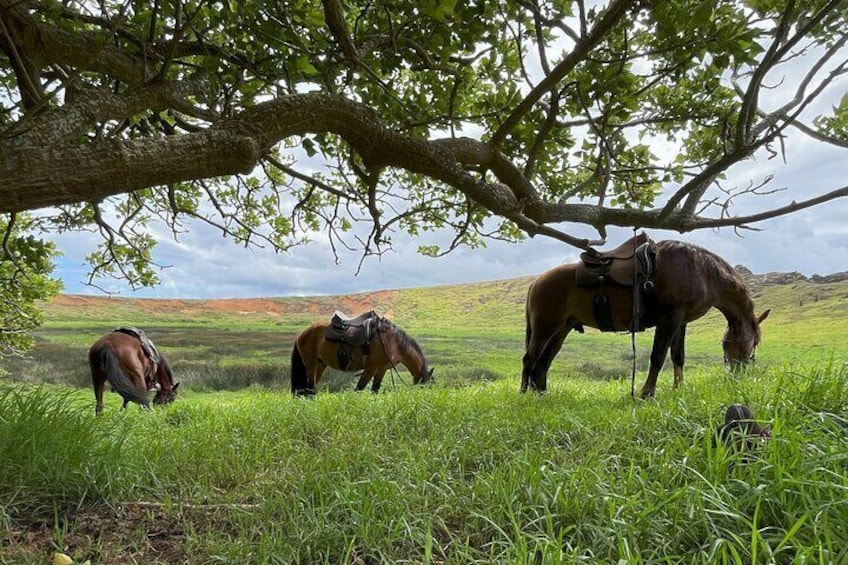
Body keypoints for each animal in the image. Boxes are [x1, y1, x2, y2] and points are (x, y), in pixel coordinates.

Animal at [292, 316, 438, 394]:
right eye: (428, 388)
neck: (393, 343)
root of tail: (302, 333)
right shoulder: (371, 368)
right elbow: (359, 389)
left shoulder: (382, 368)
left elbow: (375, 390)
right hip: (311, 365)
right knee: (309, 389)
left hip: (321, 365)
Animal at [520, 238, 772, 396]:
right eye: (754, 343)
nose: (740, 373)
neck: (701, 272)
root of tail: (536, 282)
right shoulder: (669, 319)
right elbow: (658, 357)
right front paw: (647, 393)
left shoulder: (680, 322)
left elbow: (678, 356)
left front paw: (678, 389)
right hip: (545, 328)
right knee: (530, 359)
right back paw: (524, 393)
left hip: (561, 329)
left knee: (543, 362)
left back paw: (541, 394)